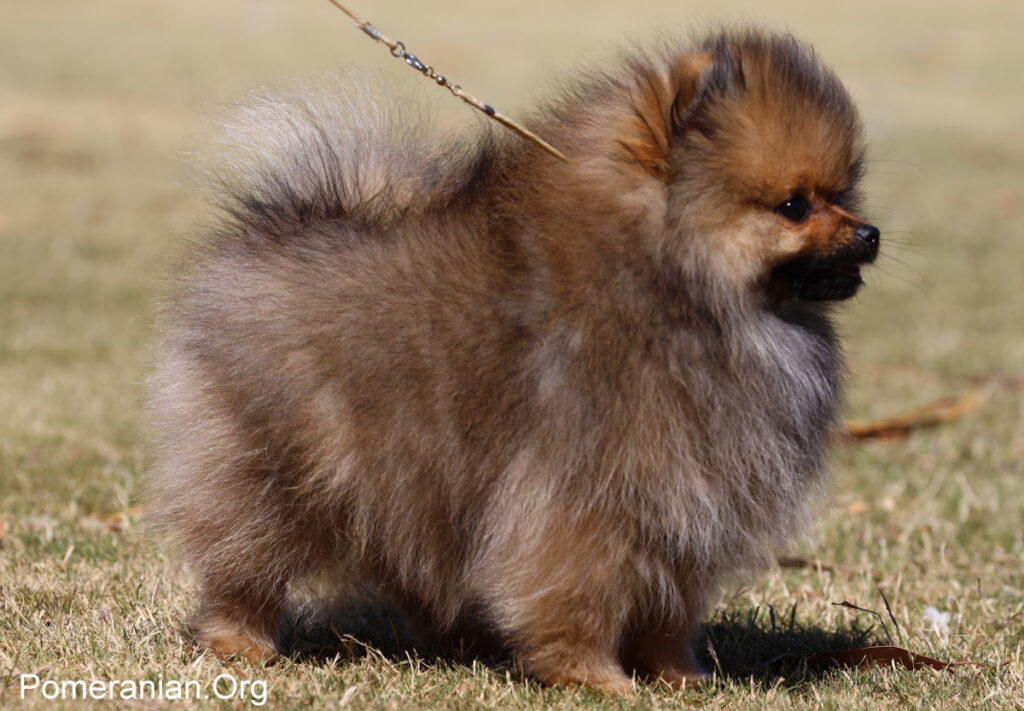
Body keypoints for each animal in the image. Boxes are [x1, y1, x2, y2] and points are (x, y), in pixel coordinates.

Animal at [149, 30, 880, 692]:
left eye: (846, 195)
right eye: (795, 206)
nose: (871, 234)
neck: (670, 284)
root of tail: (283, 224)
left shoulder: (683, 505)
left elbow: (669, 611)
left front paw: (679, 675)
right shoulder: (592, 498)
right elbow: (578, 593)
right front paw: (594, 678)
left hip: (403, 476)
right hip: (271, 471)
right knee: (246, 559)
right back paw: (240, 639)